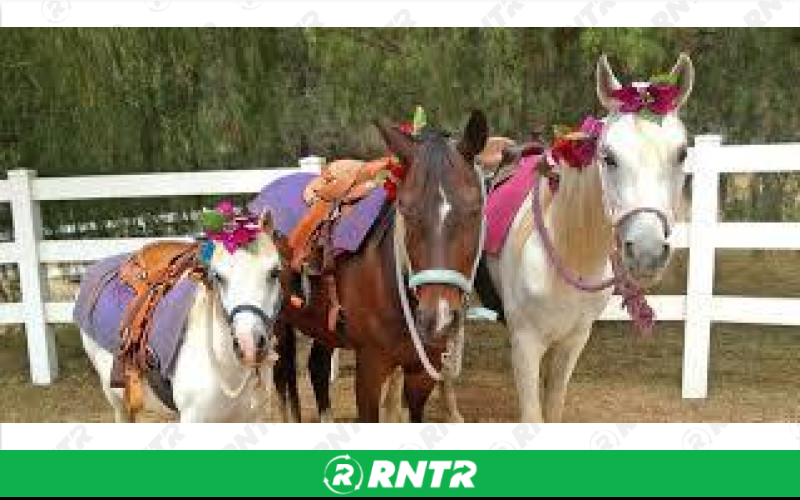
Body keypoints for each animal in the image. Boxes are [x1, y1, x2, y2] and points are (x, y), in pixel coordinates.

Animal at [270, 111, 489, 423]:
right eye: (406, 209)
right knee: (282, 377)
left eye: (474, 210)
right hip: (276, 324)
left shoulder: (422, 373)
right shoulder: (370, 369)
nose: (438, 319)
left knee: (317, 368)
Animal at [478, 53, 694, 423]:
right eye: (608, 156)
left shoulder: (572, 343)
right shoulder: (525, 345)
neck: (570, 253)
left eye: (681, 154)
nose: (647, 252)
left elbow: (553, 408)